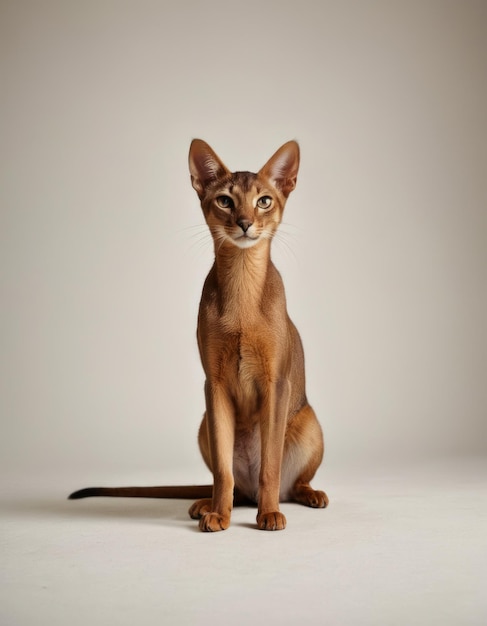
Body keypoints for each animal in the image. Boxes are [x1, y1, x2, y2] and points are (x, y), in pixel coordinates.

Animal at [69, 139, 328, 528]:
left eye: (264, 200)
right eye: (225, 200)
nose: (245, 223)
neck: (242, 290)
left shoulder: (276, 383)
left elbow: (270, 465)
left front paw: (269, 515)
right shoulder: (214, 384)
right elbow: (222, 469)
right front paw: (219, 514)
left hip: (309, 422)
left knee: (289, 482)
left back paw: (304, 496)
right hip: (204, 424)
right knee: (237, 485)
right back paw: (207, 503)